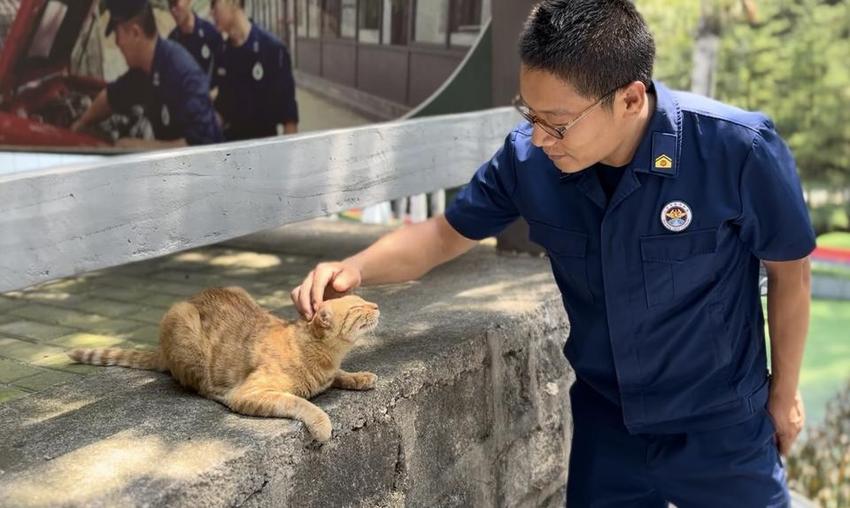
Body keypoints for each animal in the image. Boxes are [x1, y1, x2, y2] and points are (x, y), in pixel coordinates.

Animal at [68, 286, 380, 440]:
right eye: (358, 306)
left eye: (364, 299)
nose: (376, 305)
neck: (324, 356)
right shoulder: (250, 393)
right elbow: (301, 403)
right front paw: (322, 425)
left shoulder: (329, 372)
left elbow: (340, 375)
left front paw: (359, 376)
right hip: (183, 323)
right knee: (198, 384)